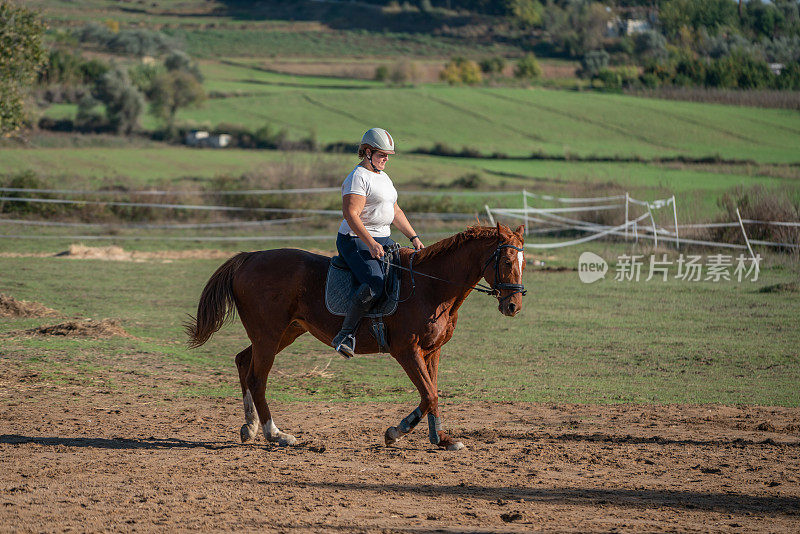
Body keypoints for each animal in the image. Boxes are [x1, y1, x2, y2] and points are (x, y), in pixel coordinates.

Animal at [185, 224, 528, 450]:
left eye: (523, 262)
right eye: (507, 262)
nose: (513, 306)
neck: (431, 287)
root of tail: (250, 257)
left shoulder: (432, 351)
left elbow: (432, 393)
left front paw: (440, 438)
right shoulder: (407, 350)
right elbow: (429, 394)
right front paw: (396, 432)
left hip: (284, 333)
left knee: (243, 361)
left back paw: (250, 427)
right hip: (268, 336)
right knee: (257, 379)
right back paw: (275, 434)